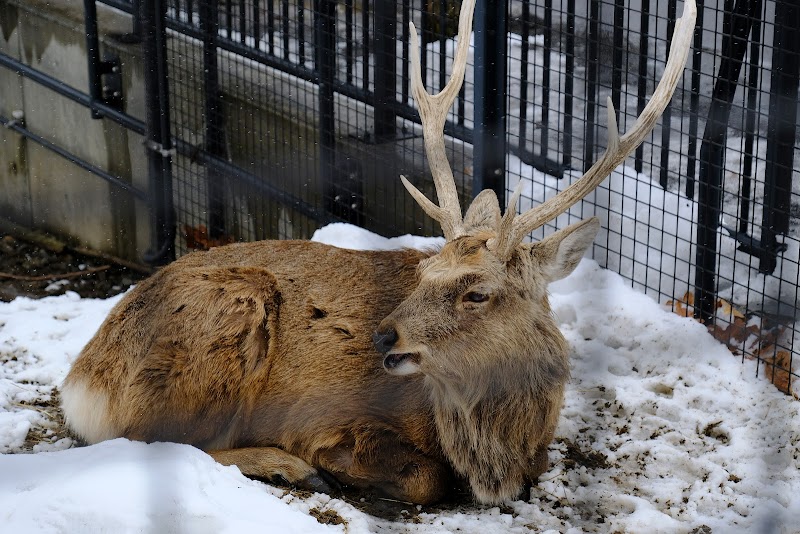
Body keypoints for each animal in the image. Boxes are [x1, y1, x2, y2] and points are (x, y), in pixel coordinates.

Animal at [61, 0, 692, 506]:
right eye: (425, 269)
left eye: (478, 292)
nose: (384, 335)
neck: (498, 448)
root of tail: (81, 381)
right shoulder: (330, 418)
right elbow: (424, 478)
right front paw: (331, 470)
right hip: (229, 313)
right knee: (153, 440)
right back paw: (284, 466)